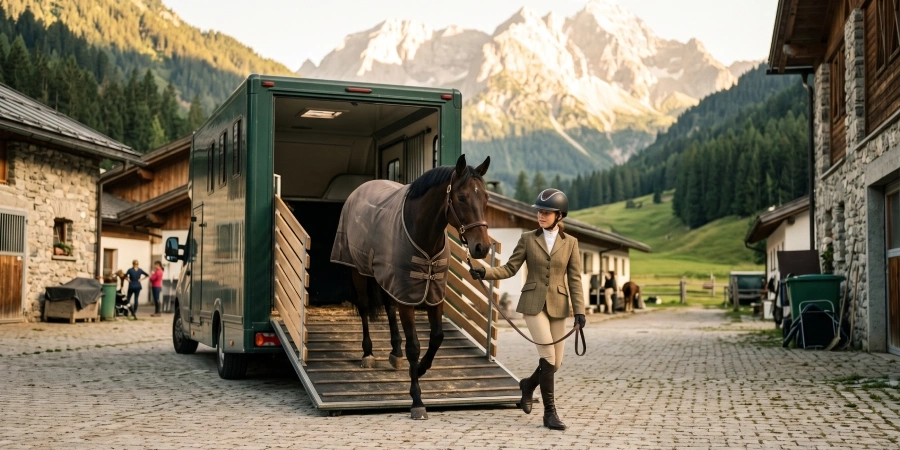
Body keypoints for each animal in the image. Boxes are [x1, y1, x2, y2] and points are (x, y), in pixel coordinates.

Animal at [330, 154, 491, 420]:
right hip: (358, 270)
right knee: (364, 308)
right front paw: (417, 399)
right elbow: (414, 346)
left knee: (388, 307)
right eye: (461, 197)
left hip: (387, 277)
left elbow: (437, 337)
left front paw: (423, 368)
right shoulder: (407, 296)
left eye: (486, 197)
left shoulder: (433, 293)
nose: (482, 247)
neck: (423, 234)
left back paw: (395, 353)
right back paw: (368, 354)